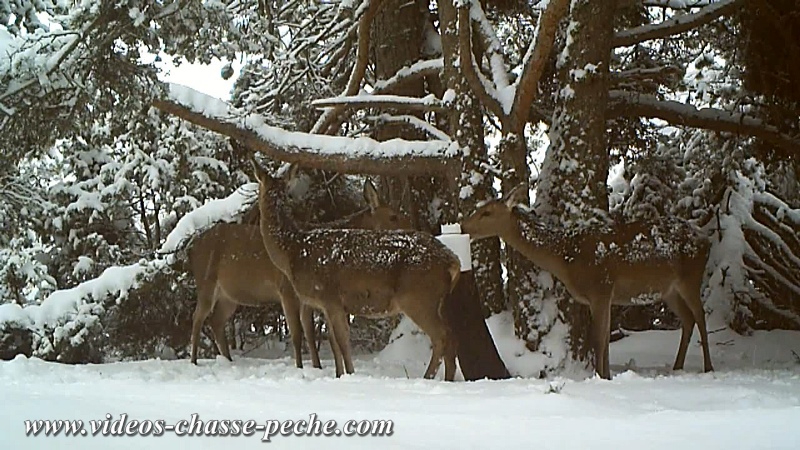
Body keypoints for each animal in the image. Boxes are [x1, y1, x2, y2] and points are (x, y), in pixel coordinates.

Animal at [188, 178, 412, 368]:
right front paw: (302, 366)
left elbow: (312, 335)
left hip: (230, 295)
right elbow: (299, 334)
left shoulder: (310, 298)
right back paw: (194, 360)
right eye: (393, 216)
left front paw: (317, 366)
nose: (413, 229)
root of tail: (194, 245)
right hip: (206, 280)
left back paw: (227, 360)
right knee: (198, 318)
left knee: (216, 320)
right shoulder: (287, 289)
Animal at [253, 162, 460, 380]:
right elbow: (335, 343)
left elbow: (342, 342)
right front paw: (339, 375)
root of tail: (453, 260)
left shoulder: (330, 296)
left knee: (442, 336)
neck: (293, 250)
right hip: (435, 300)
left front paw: (349, 374)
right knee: (452, 336)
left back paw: (428, 377)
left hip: (417, 296)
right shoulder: (327, 304)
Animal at [460, 184, 716, 380]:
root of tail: (706, 240)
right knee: (688, 319)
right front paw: (607, 377)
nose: (463, 226)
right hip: (669, 290)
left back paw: (708, 368)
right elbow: (604, 340)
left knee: (701, 316)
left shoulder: (600, 287)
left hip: (691, 276)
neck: (565, 258)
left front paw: (600, 377)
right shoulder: (604, 295)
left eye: (487, 212)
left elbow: (598, 340)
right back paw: (677, 367)